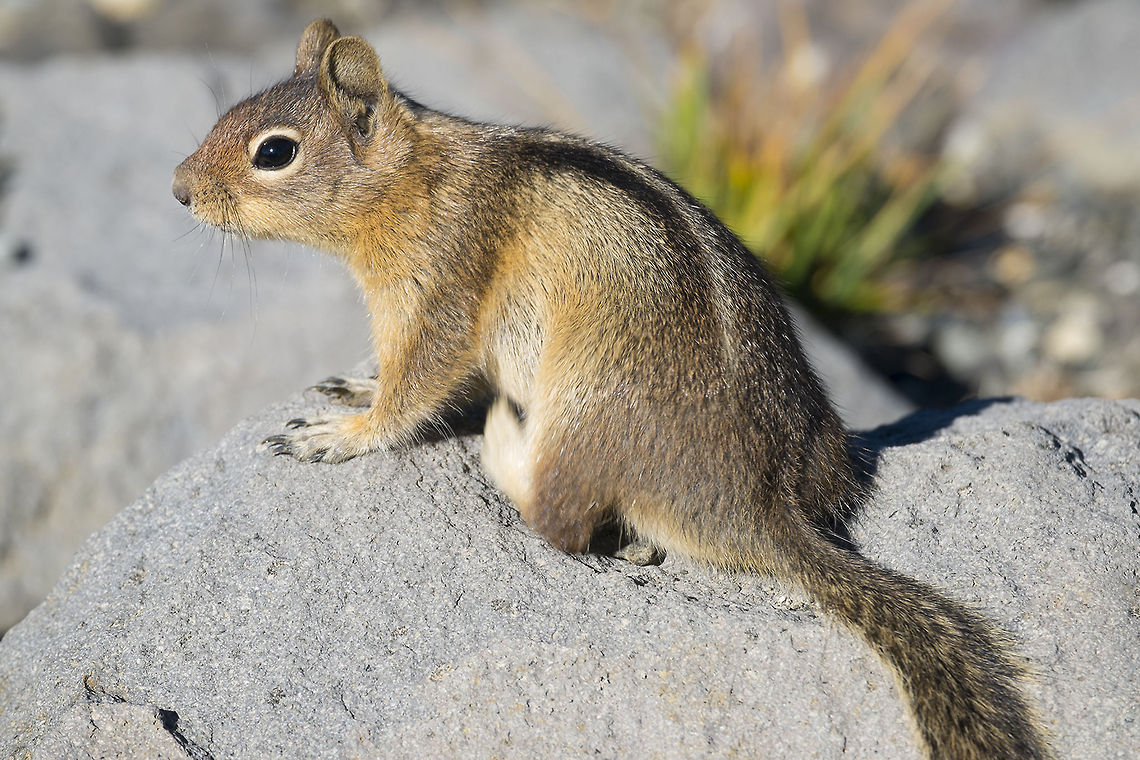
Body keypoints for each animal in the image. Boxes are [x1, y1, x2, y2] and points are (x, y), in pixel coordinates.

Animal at [172, 19, 1052, 760]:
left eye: (274, 152)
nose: (178, 189)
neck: (411, 175)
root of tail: (759, 505)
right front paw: (353, 383)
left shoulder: (437, 292)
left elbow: (415, 385)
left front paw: (341, 434)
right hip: (821, 443)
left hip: (582, 408)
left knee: (558, 520)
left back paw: (508, 448)